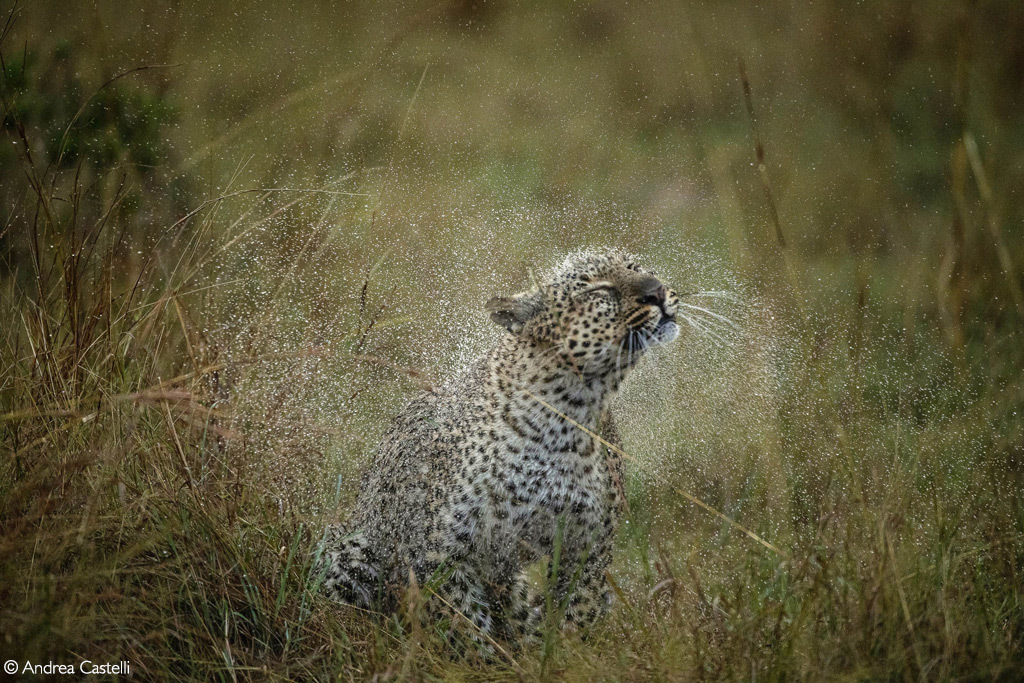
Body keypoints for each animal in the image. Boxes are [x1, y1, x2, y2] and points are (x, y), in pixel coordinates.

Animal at [315, 246, 675, 647]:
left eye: (641, 269)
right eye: (598, 290)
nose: (658, 291)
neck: (569, 416)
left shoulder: (588, 543)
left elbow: (575, 614)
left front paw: (560, 652)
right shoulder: (439, 551)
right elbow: (468, 631)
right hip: (349, 550)